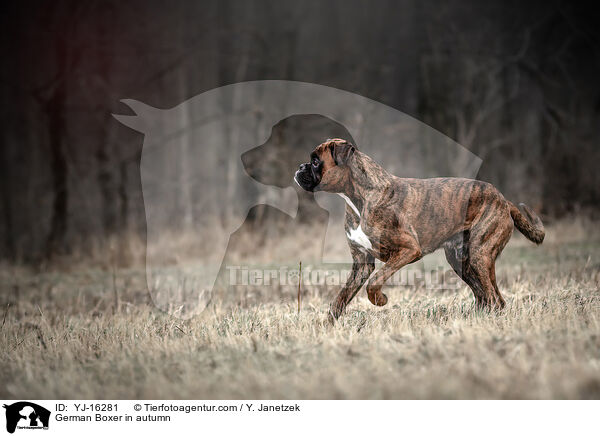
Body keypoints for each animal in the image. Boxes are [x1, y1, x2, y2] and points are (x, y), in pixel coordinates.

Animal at [292, 139, 548, 320]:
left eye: (316, 161)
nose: (300, 166)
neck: (359, 197)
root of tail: (503, 199)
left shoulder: (408, 250)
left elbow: (375, 282)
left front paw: (380, 301)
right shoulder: (361, 263)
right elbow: (340, 298)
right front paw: (327, 326)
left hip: (479, 255)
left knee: (493, 298)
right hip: (461, 261)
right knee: (487, 296)